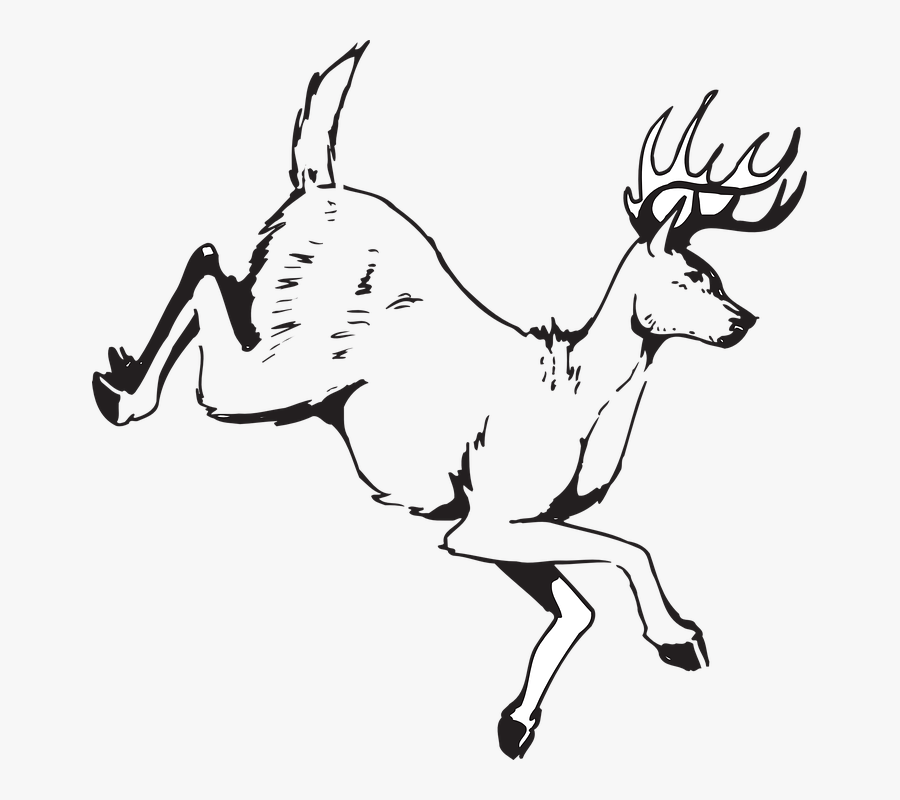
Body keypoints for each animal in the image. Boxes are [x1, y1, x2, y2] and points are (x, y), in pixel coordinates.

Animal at [91, 44, 806, 758]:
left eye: (716, 275)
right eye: (691, 276)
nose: (744, 321)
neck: (576, 398)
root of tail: (316, 188)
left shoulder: (491, 518)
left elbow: (578, 607)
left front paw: (517, 724)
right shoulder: (490, 515)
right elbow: (628, 549)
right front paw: (680, 638)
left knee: (217, 271)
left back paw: (120, 379)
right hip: (278, 373)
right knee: (207, 268)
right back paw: (120, 394)